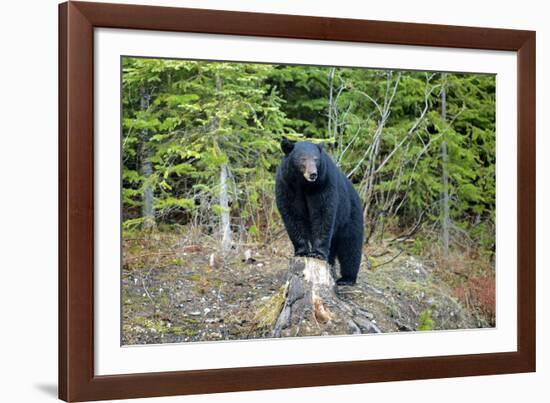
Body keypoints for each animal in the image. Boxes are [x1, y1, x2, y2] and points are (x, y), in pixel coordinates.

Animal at [278, 140, 364, 286]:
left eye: (316, 159)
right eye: (302, 159)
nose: (313, 174)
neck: (304, 184)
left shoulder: (323, 184)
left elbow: (323, 213)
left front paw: (317, 253)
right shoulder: (287, 185)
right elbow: (293, 214)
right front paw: (302, 251)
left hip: (350, 215)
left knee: (350, 246)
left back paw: (347, 278)